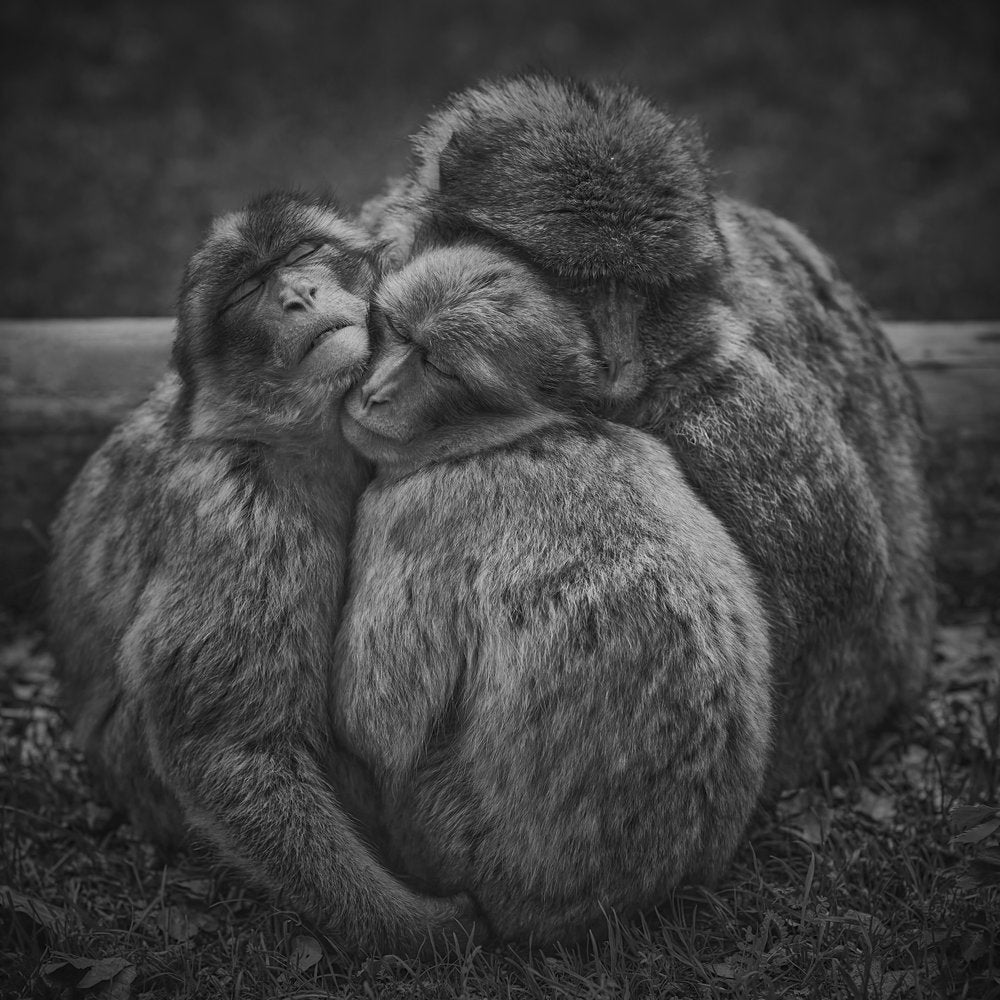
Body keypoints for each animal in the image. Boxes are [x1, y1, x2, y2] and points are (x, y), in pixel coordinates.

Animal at [47, 191, 479, 954]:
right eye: (249, 292)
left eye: (303, 255)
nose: (297, 295)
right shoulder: (245, 517)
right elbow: (230, 745)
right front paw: (409, 925)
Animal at [330, 243, 774, 945]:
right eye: (396, 330)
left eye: (438, 365)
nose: (374, 393)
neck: (528, 434)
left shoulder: (413, 511)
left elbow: (375, 726)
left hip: (446, 837)